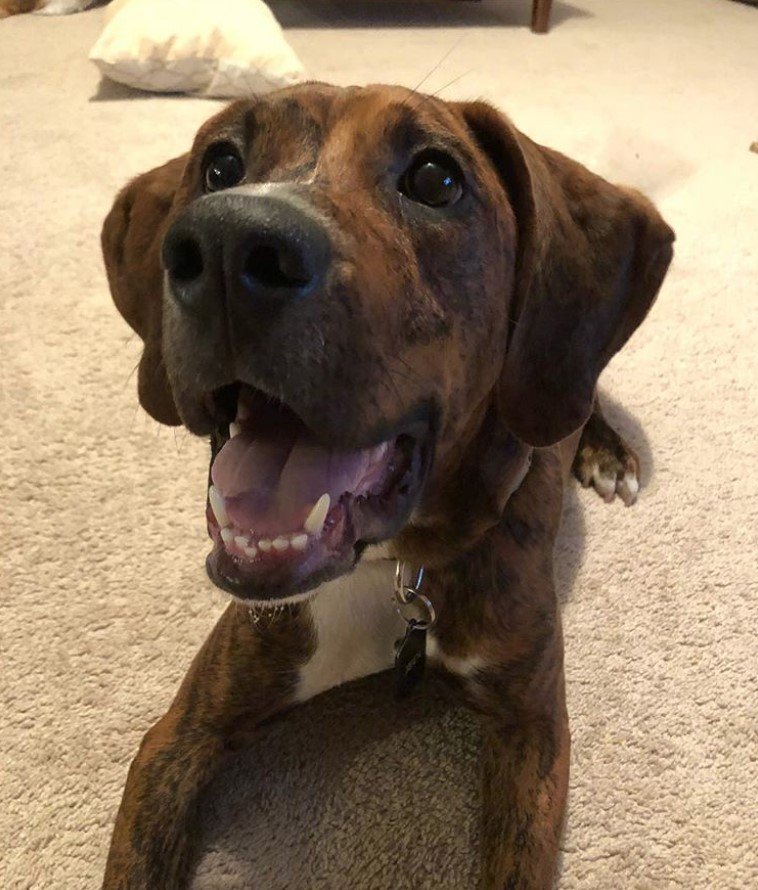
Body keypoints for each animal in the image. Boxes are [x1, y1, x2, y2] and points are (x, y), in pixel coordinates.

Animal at [101, 81, 676, 880]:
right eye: (220, 165)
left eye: (436, 179)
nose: (226, 242)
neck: (393, 567)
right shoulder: (178, 738)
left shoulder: (533, 732)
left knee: (583, 386)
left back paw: (607, 449)